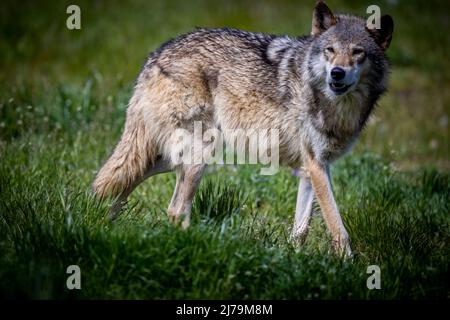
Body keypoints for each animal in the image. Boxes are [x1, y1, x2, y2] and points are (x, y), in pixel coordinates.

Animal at [92, 0, 394, 255]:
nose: (337, 73)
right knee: (175, 210)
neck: (335, 105)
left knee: (123, 182)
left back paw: (105, 223)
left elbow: (301, 229)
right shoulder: (316, 166)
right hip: (198, 156)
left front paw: (294, 261)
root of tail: (154, 56)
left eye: (357, 52)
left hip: (169, 157)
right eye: (330, 50)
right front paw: (348, 267)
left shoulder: (312, 168)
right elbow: (337, 226)